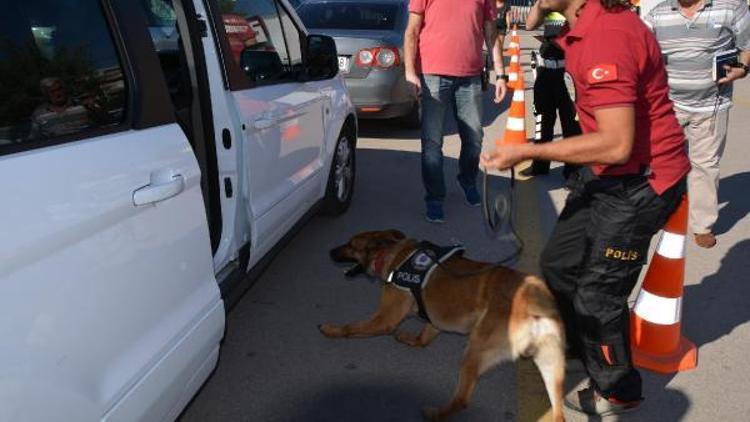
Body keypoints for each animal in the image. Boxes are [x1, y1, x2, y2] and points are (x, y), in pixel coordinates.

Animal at [320, 231, 568, 422]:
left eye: (350, 244)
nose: (329, 251)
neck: (393, 253)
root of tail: (534, 298)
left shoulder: (384, 319)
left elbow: (351, 328)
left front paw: (332, 330)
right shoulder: (435, 321)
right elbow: (423, 339)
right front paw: (409, 339)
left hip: (474, 352)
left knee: (462, 400)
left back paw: (435, 413)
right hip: (551, 366)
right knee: (559, 413)